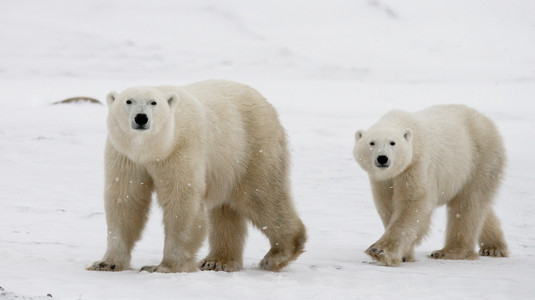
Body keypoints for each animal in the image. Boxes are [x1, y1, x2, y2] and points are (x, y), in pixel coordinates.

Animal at [87, 80, 306, 274]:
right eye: (128, 101)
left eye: (153, 102)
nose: (141, 118)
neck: (152, 149)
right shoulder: (125, 157)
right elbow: (126, 199)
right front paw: (107, 263)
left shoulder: (180, 150)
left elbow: (180, 199)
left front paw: (164, 266)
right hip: (225, 167)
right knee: (226, 209)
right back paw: (217, 261)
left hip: (252, 147)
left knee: (261, 196)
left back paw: (277, 255)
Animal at [354, 104, 508, 266]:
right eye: (371, 142)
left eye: (392, 142)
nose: (382, 158)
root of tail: (487, 121)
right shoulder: (384, 179)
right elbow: (387, 205)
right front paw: (404, 255)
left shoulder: (417, 165)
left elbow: (413, 204)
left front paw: (380, 251)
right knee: (479, 207)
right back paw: (493, 248)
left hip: (480, 159)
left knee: (469, 204)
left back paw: (449, 251)